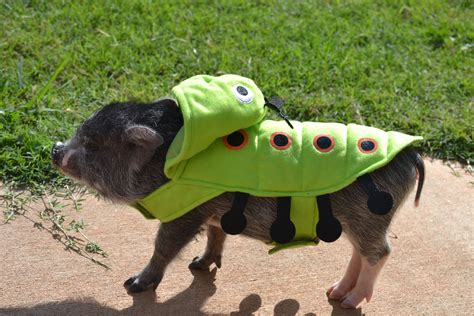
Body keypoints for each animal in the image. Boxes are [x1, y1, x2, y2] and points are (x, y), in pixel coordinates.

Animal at [52, 99, 426, 308]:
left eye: (93, 144)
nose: (56, 149)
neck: (165, 161)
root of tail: (413, 155)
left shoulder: (186, 213)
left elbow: (164, 247)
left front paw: (133, 285)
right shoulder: (213, 211)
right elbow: (215, 236)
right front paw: (199, 266)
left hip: (370, 217)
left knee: (381, 253)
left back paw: (348, 301)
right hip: (359, 221)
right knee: (359, 253)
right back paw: (333, 293)